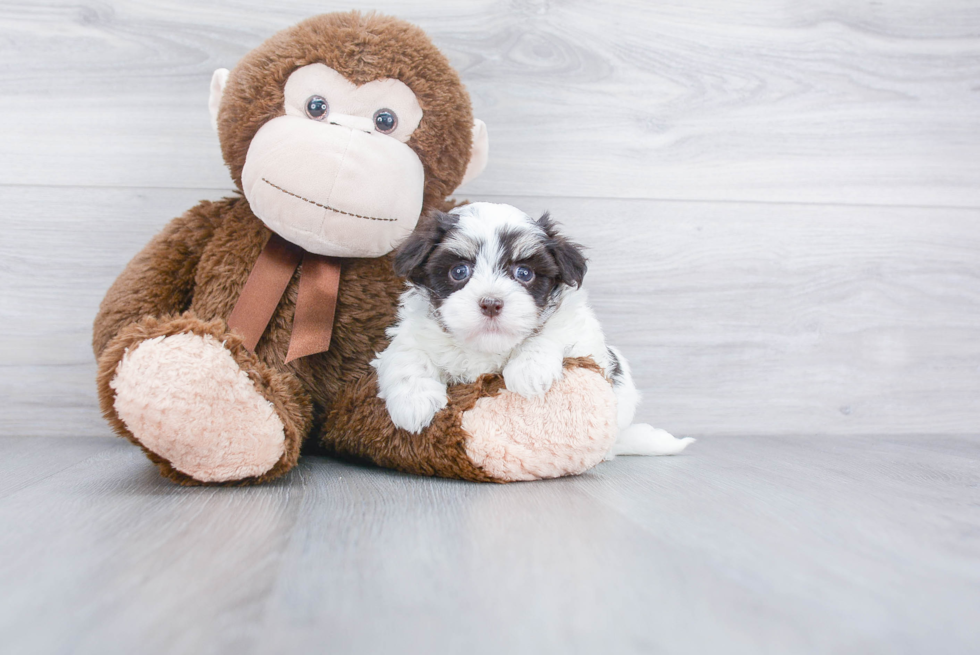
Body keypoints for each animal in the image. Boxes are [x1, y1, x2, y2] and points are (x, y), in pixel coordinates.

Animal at [372, 202, 692, 458]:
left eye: (524, 273)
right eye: (459, 271)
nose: (491, 303)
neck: (487, 348)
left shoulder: (583, 334)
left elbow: (552, 333)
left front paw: (529, 369)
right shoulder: (412, 334)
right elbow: (406, 356)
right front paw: (414, 403)